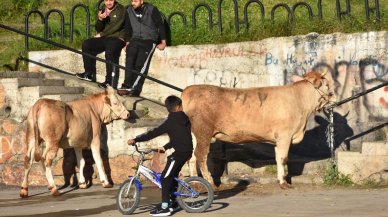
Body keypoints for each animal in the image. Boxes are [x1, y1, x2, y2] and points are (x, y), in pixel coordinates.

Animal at [182, 71, 336, 188]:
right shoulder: (285, 136)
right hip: (203, 132)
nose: (335, 98)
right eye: (327, 85)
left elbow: (278, 158)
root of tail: (189, 90)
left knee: (191, 156)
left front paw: (280, 180)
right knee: (200, 154)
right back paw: (210, 183)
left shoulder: (278, 139)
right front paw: (284, 183)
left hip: (194, 134)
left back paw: (195, 183)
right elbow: (283, 159)